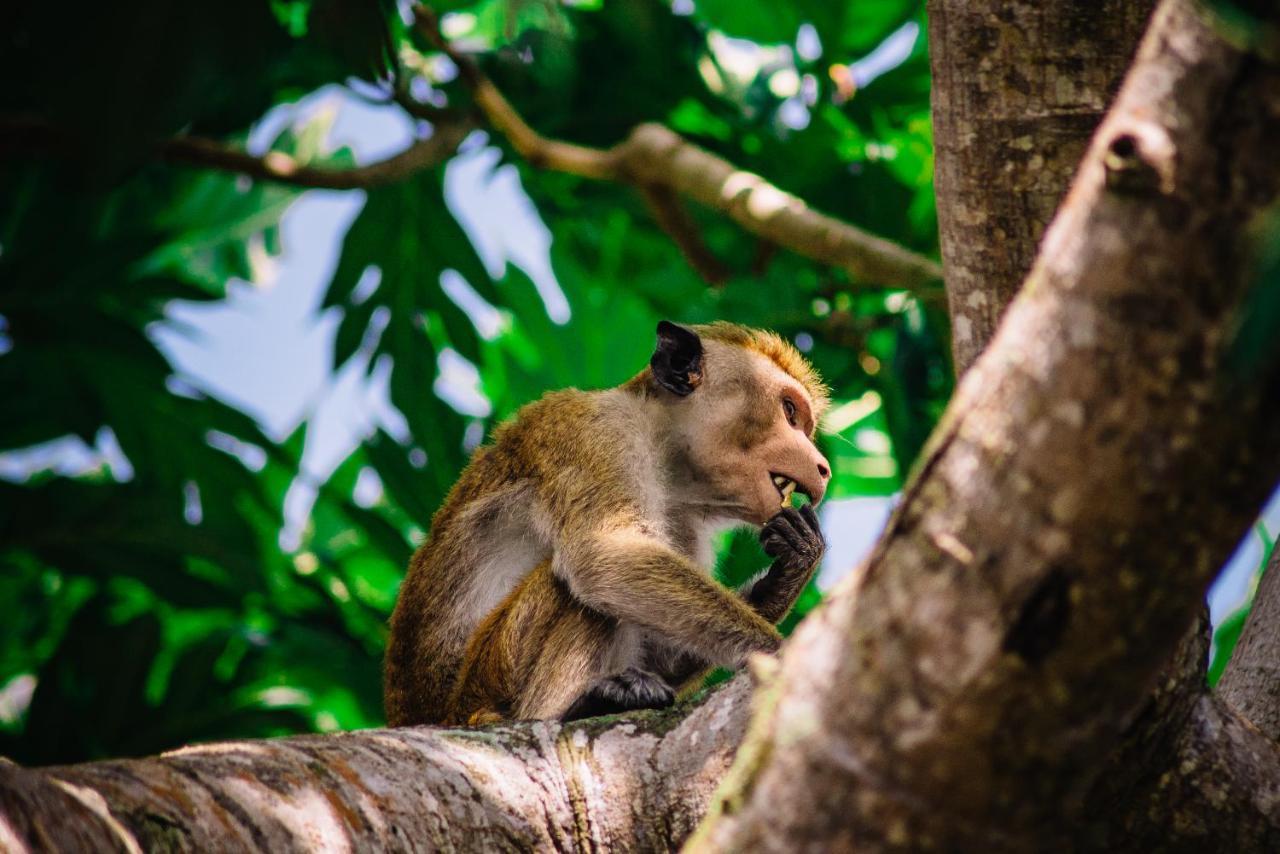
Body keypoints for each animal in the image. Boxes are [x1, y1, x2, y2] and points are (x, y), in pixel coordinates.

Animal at [384, 322, 834, 727]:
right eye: (789, 411)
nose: (823, 468)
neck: (664, 452)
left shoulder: (685, 524)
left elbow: (661, 652)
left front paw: (791, 566)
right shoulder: (599, 433)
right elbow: (606, 558)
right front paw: (783, 656)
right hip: (487, 683)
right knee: (574, 591)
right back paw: (576, 709)